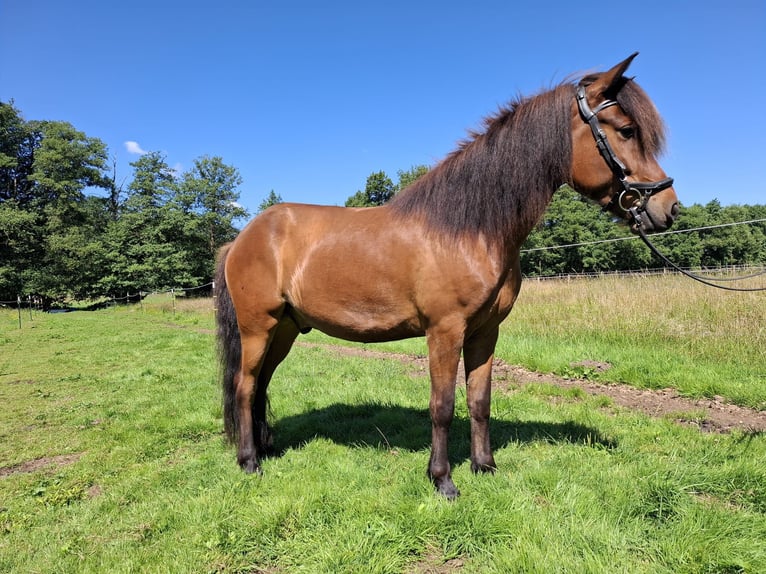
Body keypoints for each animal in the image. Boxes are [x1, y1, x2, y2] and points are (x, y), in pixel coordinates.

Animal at [214, 53, 679, 499]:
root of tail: (241, 239)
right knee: (244, 386)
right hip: (258, 326)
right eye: (625, 130)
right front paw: (442, 480)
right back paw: (249, 462)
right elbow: (442, 405)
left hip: (286, 328)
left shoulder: (485, 332)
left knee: (260, 385)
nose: (668, 207)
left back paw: (266, 448)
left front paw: (484, 467)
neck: (469, 230)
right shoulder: (444, 330)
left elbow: (479, 400)